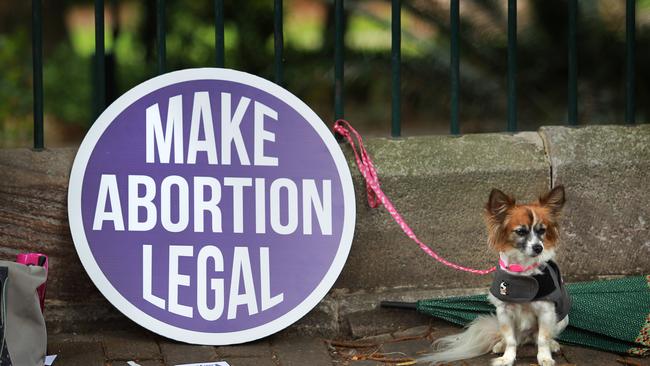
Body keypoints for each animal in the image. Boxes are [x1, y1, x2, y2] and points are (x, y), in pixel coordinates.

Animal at [420, 186, 568, 366]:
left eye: (542, 231)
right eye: (521, 231)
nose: (538, 247)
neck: (523, 269)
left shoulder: (546, 311)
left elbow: (543, 338)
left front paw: (545, 357)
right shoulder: (504, 312)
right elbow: (510, 339)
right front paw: (507, 358)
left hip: (562, 318)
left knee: (541, 336)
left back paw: (553, 344)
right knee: (513, 338)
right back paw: (500, 344)